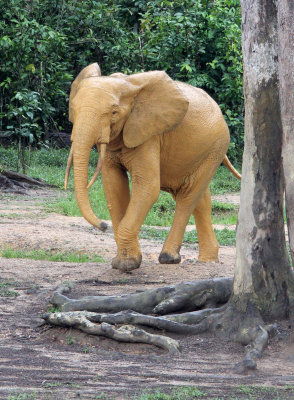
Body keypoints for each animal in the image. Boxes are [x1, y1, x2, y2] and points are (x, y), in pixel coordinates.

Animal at [65, 64, 241, 274]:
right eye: (73, 109)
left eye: (114, 112)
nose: (103, 225)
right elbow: (113, 186)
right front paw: (122, 263)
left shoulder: (149, 134)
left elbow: (147, 187)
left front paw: (126, 265)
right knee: (201, 199)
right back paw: (208, 260)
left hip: (217, 146)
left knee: (188, 196)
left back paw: (169, 258)